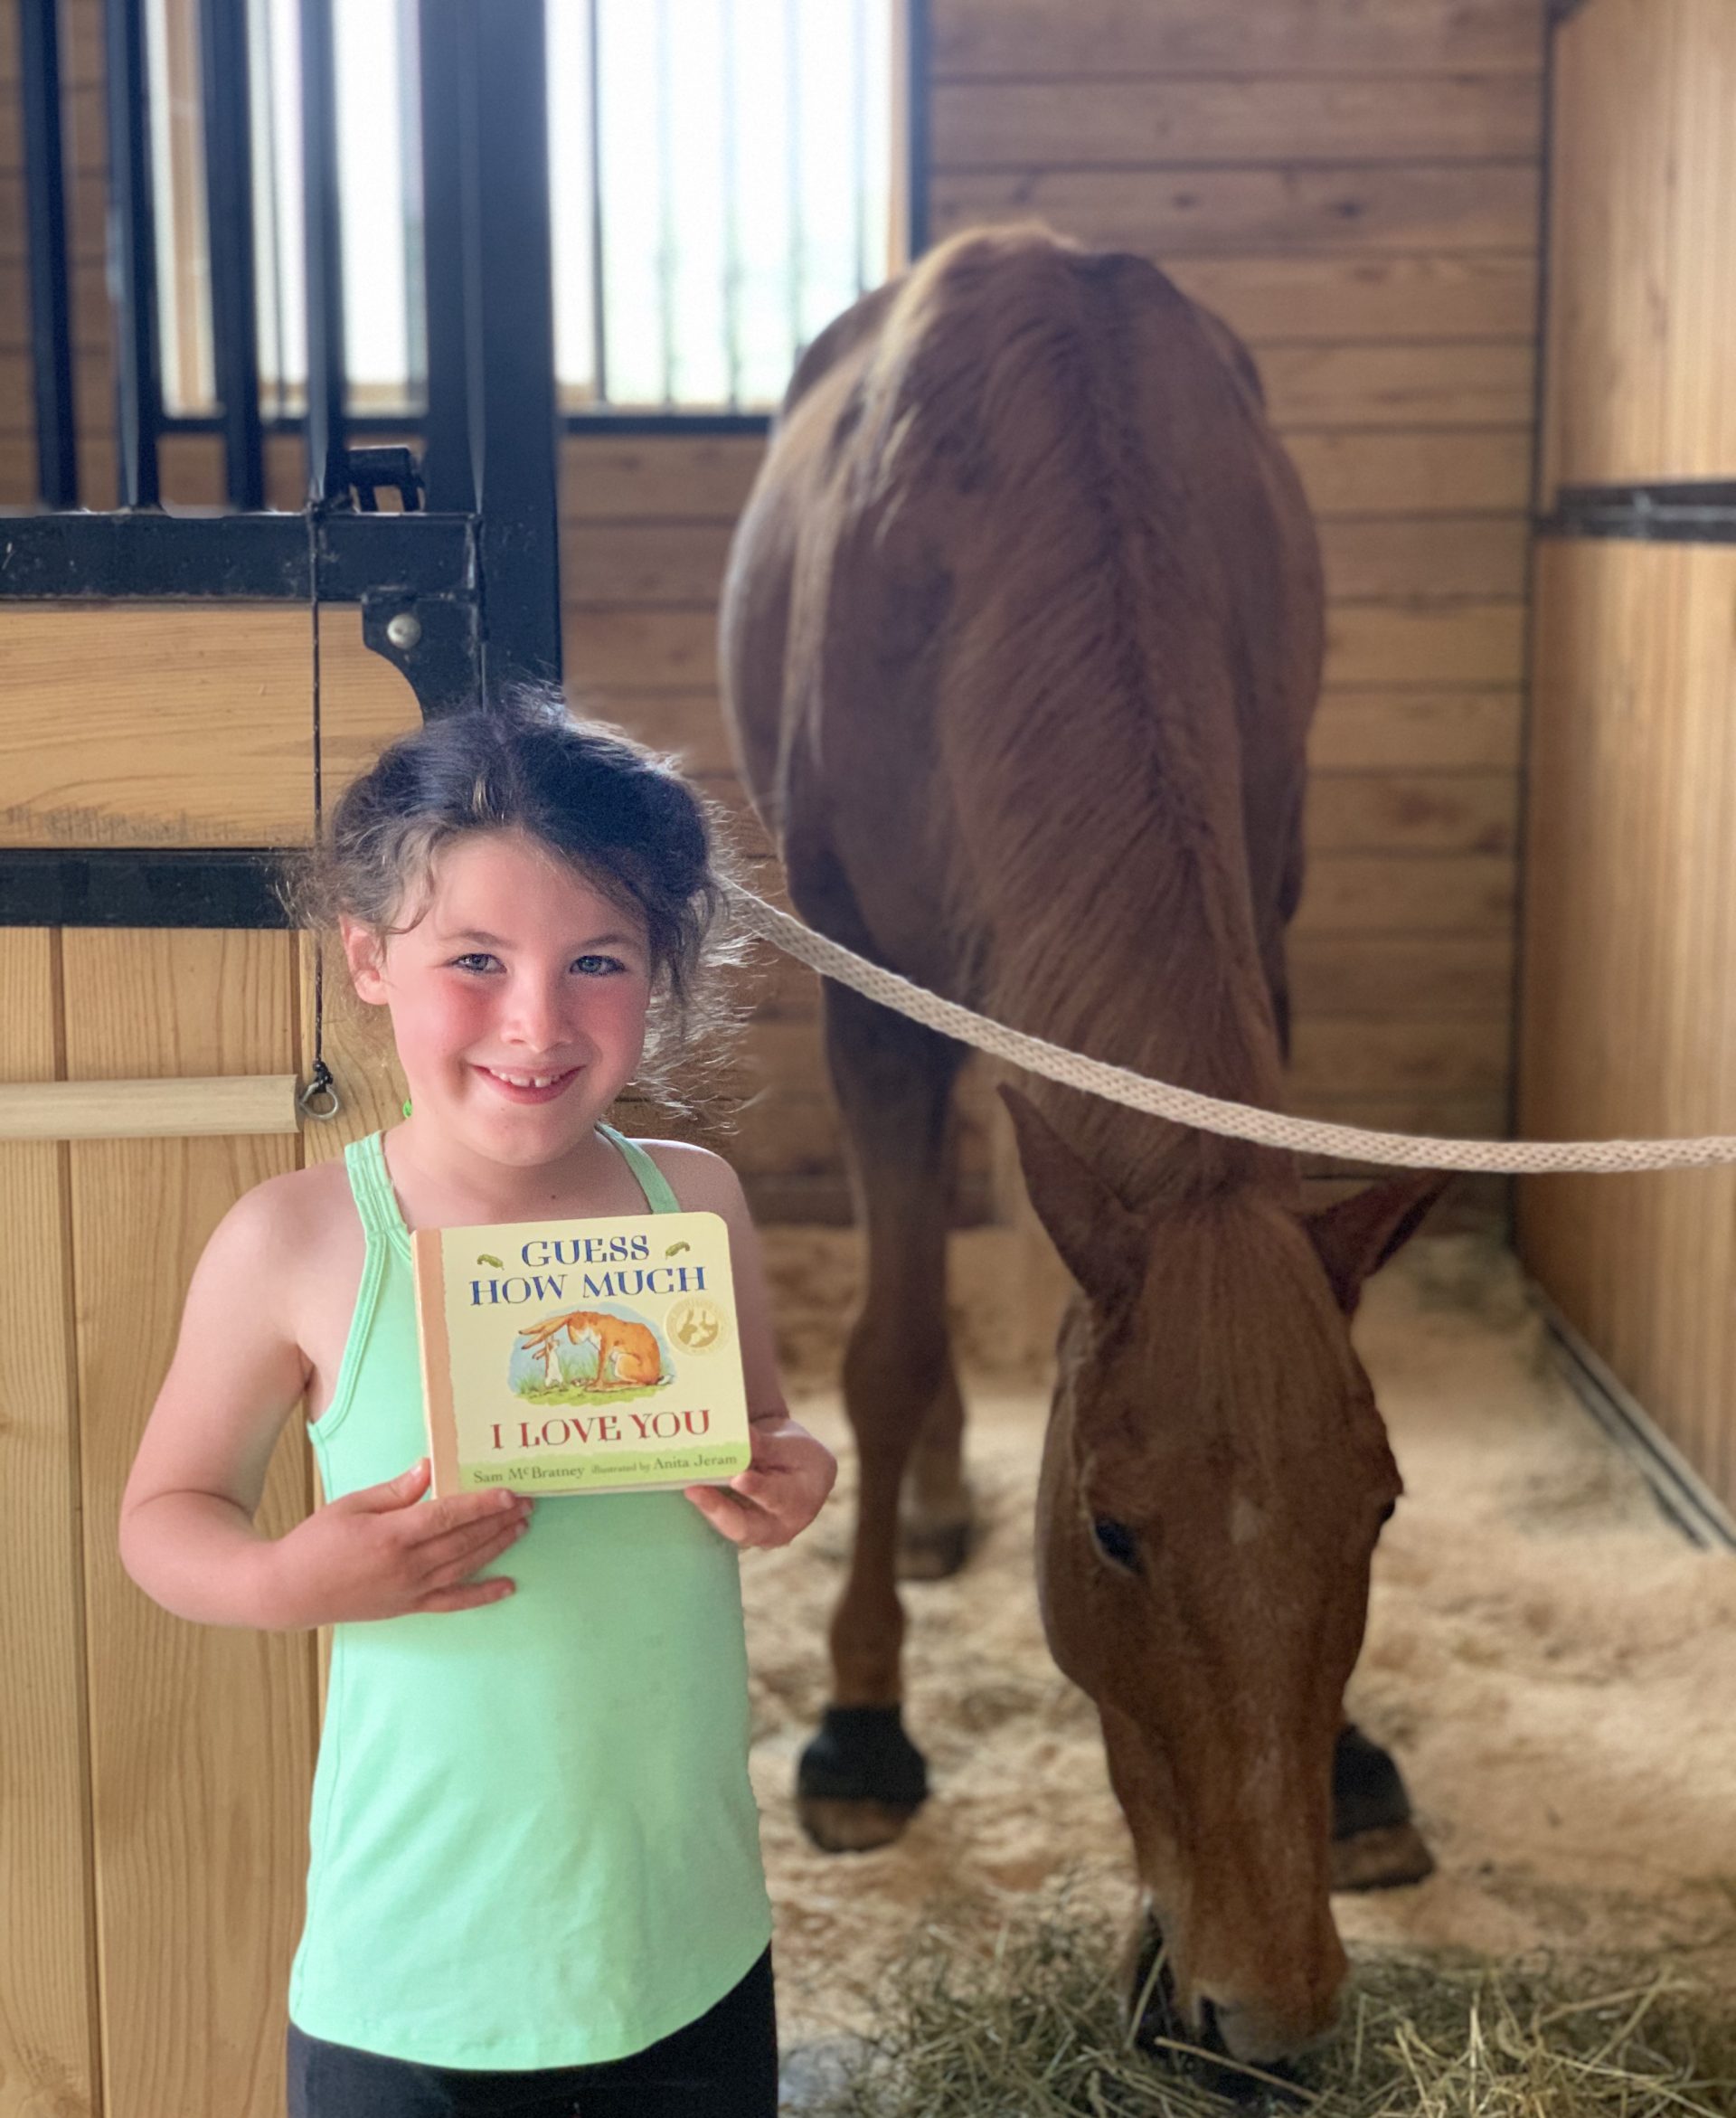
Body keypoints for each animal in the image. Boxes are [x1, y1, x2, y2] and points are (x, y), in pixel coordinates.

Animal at [711, 232, 1448, 2066]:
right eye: (1111, 1530)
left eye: (1381, 1509)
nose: (1266, 2013)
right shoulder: (876, 1016)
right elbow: (893, 1344)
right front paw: (862, 1723)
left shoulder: (1267, 915)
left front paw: (1357, 1769)